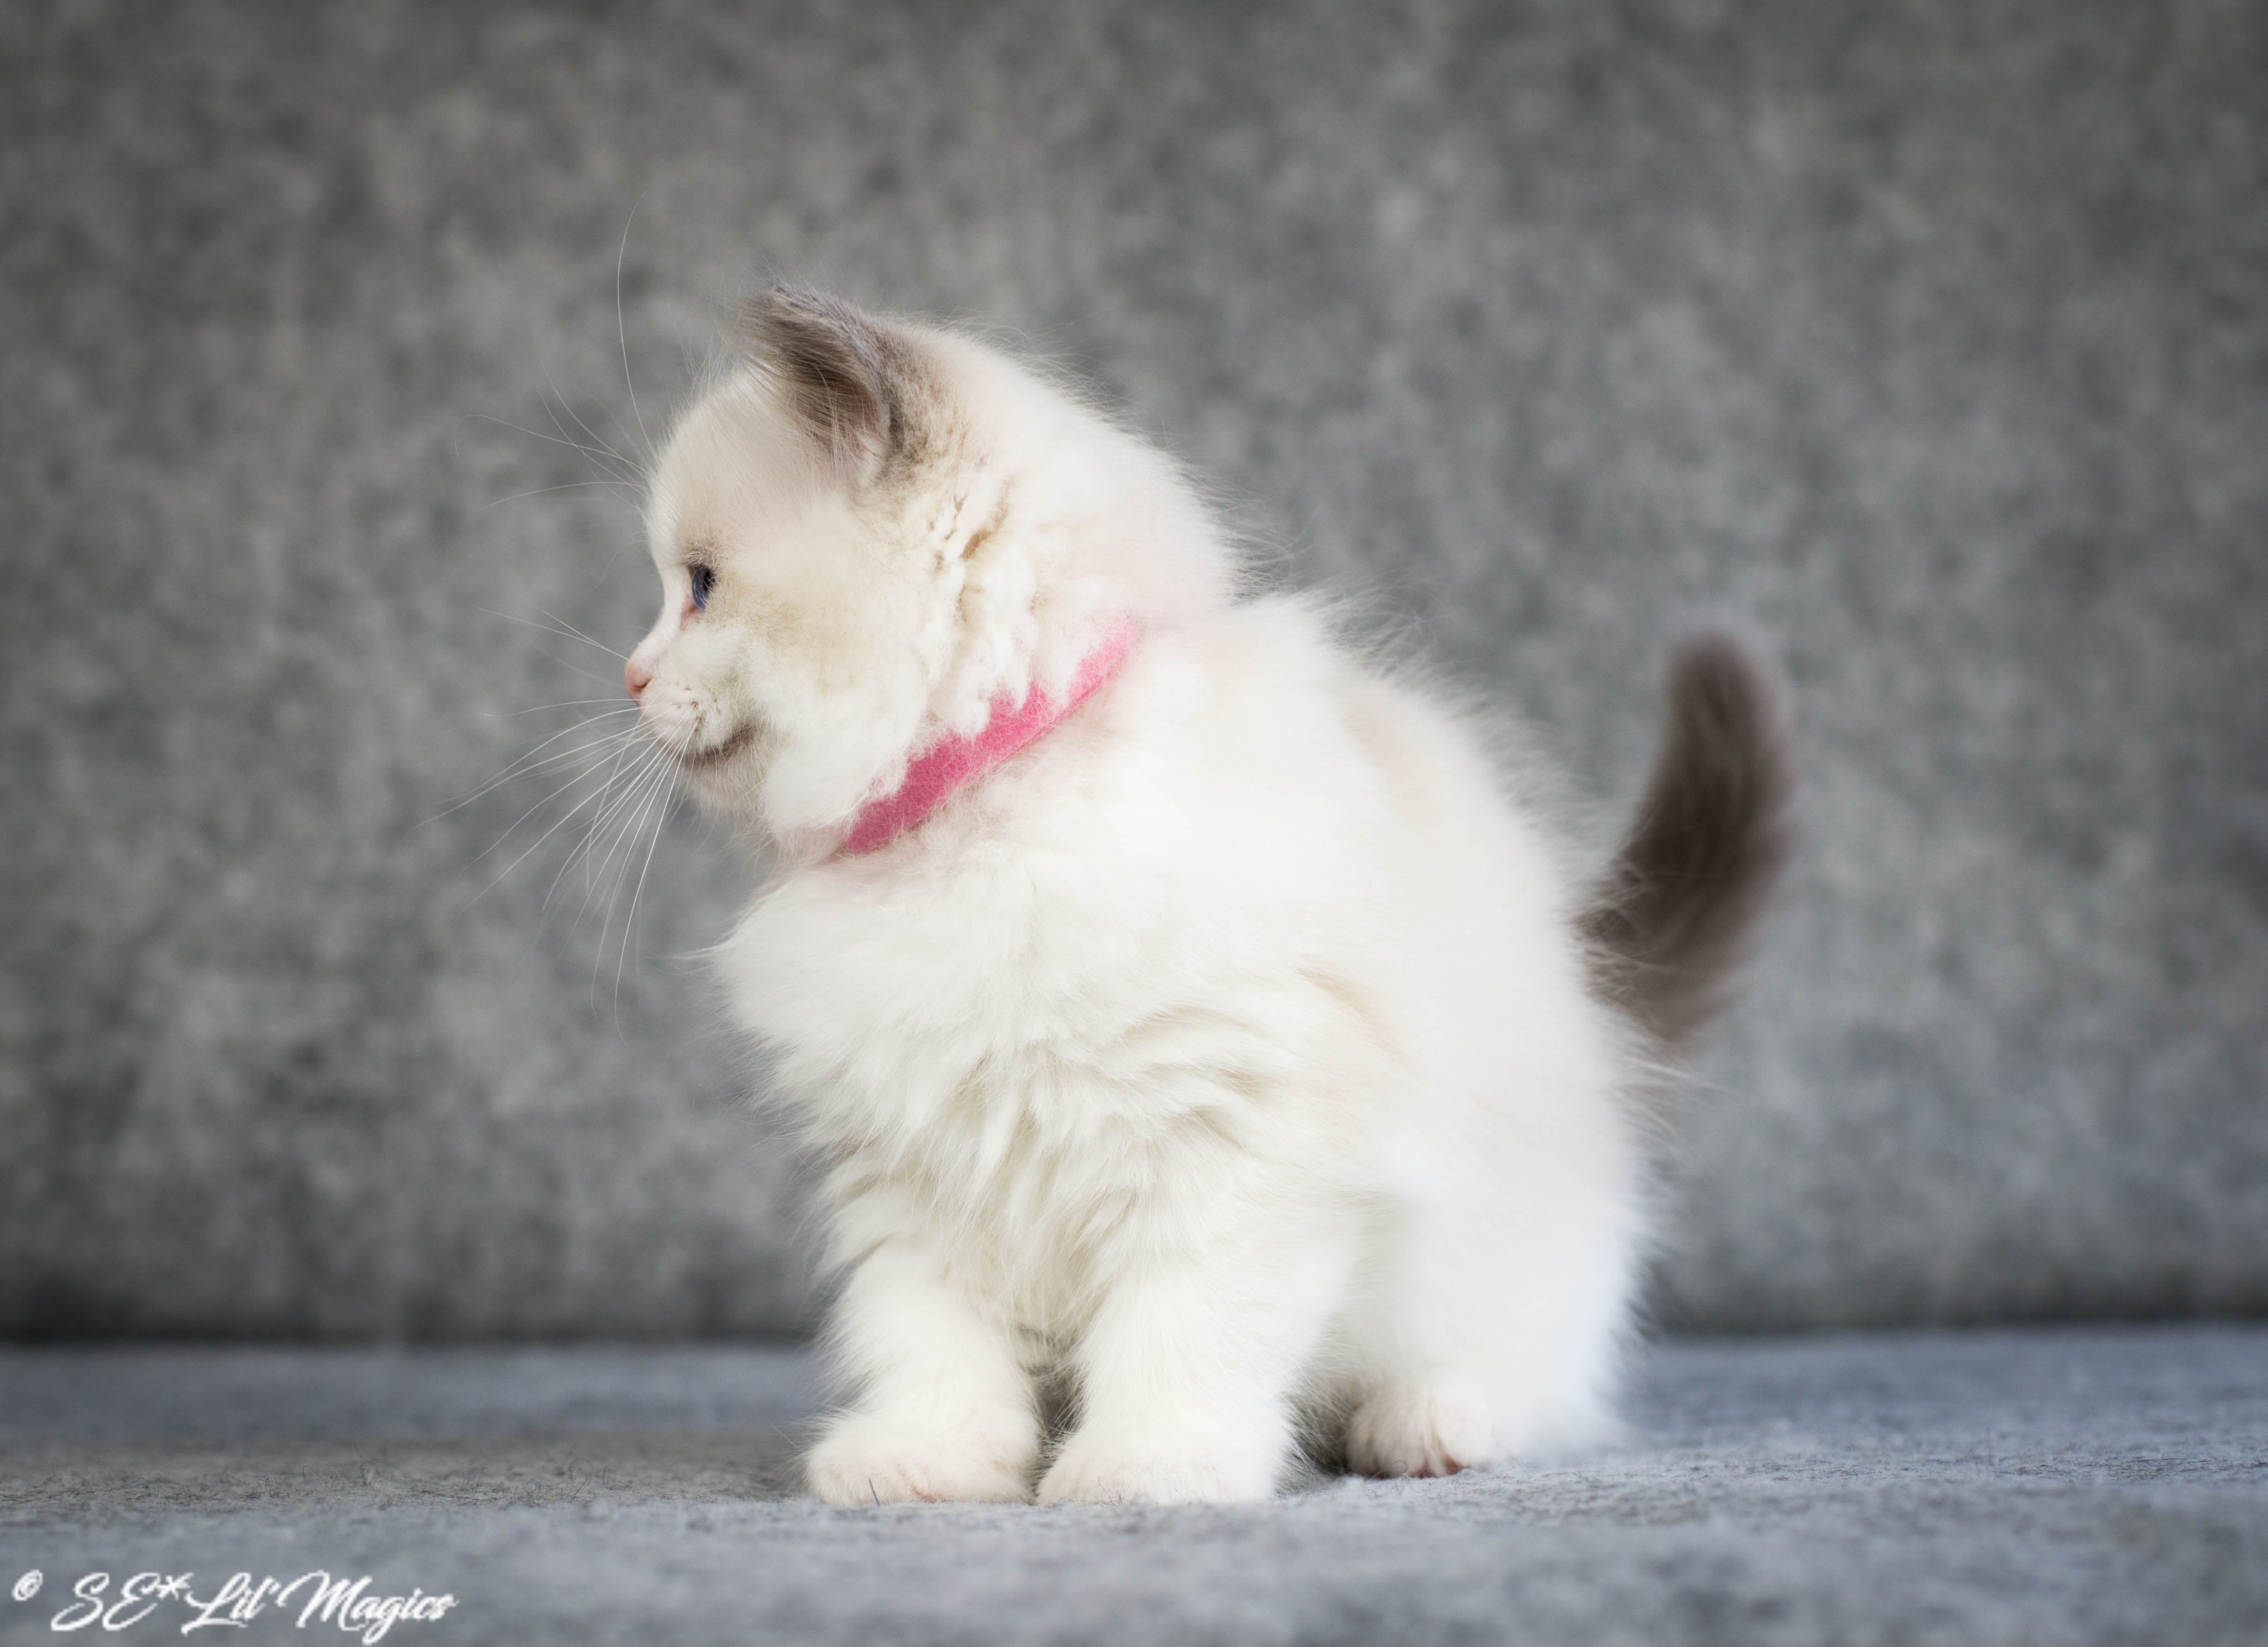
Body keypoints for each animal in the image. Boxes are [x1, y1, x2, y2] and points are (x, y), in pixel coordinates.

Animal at [620, 287, 1790, 1504]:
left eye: (697, 588)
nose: (631, 677)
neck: (988, 827)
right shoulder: (910, 1174)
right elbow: (933, 1343)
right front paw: (927, 1462)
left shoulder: (1232, 1145)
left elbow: (1181, 1329)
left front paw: (1145, 1469)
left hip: (1499, 1249)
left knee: (1519, 1379)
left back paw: (1423, 1428)